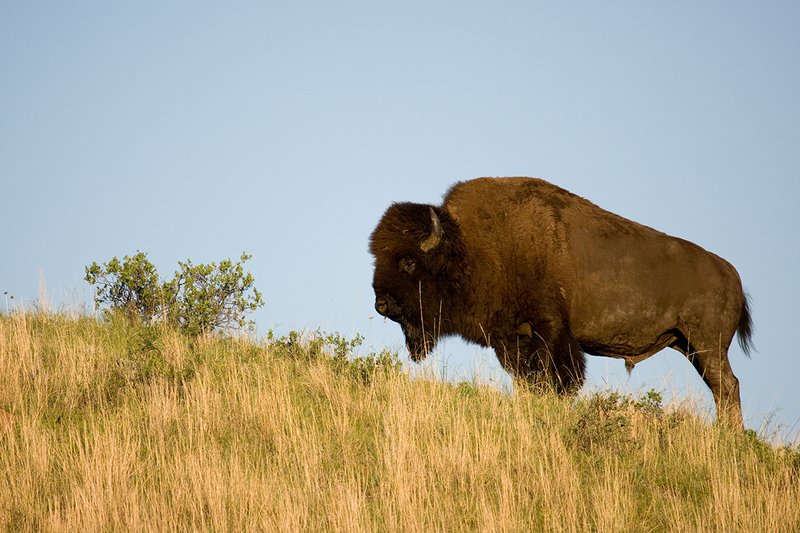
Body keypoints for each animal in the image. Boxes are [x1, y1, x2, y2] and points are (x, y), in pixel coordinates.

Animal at [369, 177, 753, 426]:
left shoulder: (550, 329)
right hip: (689, 345)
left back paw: (728, 435)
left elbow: (556, 377)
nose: (381, 304)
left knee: (727, 385)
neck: (472, 246)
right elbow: (527, 380)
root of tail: (731, 274)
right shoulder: (510, 339)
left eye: (408, 262)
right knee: (722, 387)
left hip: (707, 345)